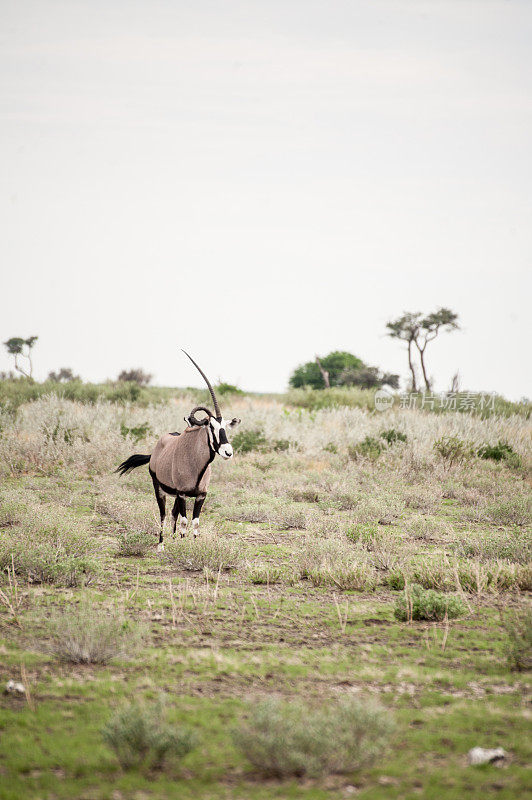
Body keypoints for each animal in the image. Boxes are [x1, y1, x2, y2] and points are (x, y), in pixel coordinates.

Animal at [118, 354, 241, 552]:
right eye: (211, 426)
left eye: (225, 427)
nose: (227, 452)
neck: (197, 463)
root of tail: (156, 450)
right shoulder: (183, 494)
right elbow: (184, 522)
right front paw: (182, 547)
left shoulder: (200, 495)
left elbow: (195, 522)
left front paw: (192, 546)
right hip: (159, 488)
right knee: (163, 514)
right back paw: (161, 545)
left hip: (175, 494)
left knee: (173, 513)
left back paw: (173, 540)